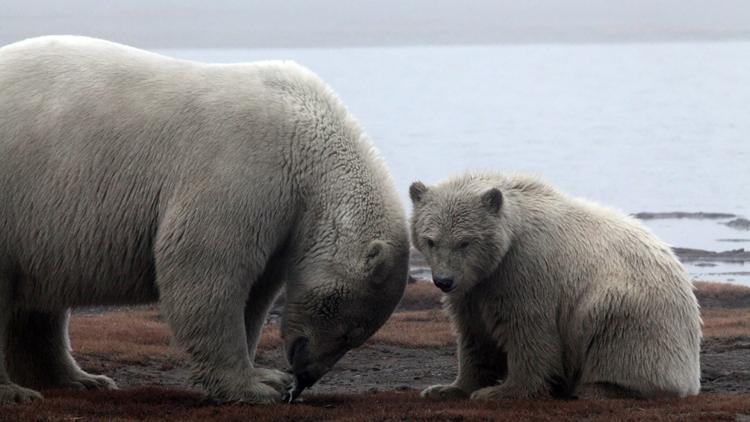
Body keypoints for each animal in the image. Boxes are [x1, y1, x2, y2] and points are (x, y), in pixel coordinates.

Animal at [0, 38, 408, 404]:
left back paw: (81, 380)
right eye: (352, 331)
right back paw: (18, 392)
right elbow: (206, 270)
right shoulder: (245, 168)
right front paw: (256, 387)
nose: (305, 377)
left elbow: (256, 291)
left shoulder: (284, 217)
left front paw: (266, 375)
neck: (305, 138)